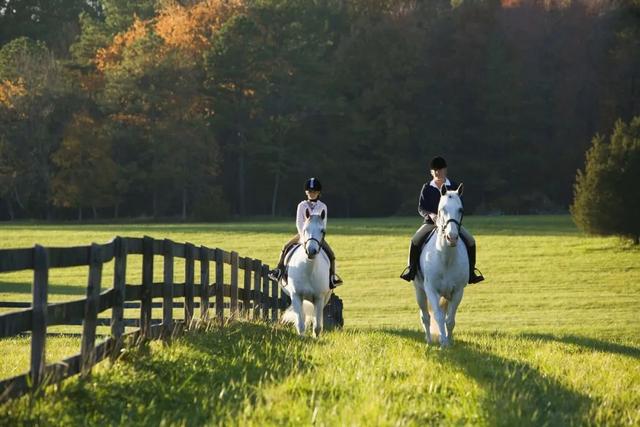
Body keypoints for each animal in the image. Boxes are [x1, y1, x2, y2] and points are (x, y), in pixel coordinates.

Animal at [282, 210, 332, 338]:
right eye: (305, 229)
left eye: (322, 230)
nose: (311, 251)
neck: (308, 270)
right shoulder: (296, 296)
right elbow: (300, 324)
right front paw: (302, 338)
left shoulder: (319, 298)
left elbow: (317, 326)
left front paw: (316, 339)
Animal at [412, 183, 468, 348]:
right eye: (442, 209)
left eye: (460, 209)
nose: (452, 237)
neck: (446, 258)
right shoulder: (431, 290)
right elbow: (438, 316)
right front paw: (443, 342)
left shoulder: (458, 292)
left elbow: (449, 320)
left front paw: (449, 342)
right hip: (419, 291)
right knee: (425, 316)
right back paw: (429, 341)